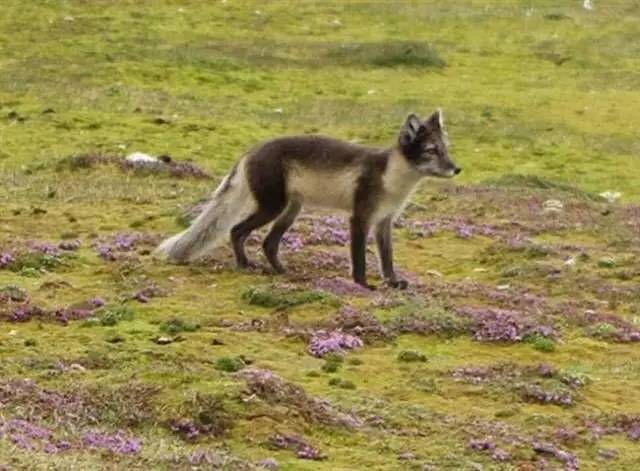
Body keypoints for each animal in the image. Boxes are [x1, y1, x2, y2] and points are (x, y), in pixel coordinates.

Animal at [155, 109, 461, 289]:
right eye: (432, 151)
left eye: (446, 150)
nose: (457, 169)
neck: (393, 179)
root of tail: (250, 152)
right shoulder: (360, 217)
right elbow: (359, 258)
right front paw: (363, 285)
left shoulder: (384, 221)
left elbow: (387, 258)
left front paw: (393, 282)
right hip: (272, 206)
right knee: (236, 230)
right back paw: (244, 266)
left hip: (291, 209)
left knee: (268, 243)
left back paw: (281, 271)